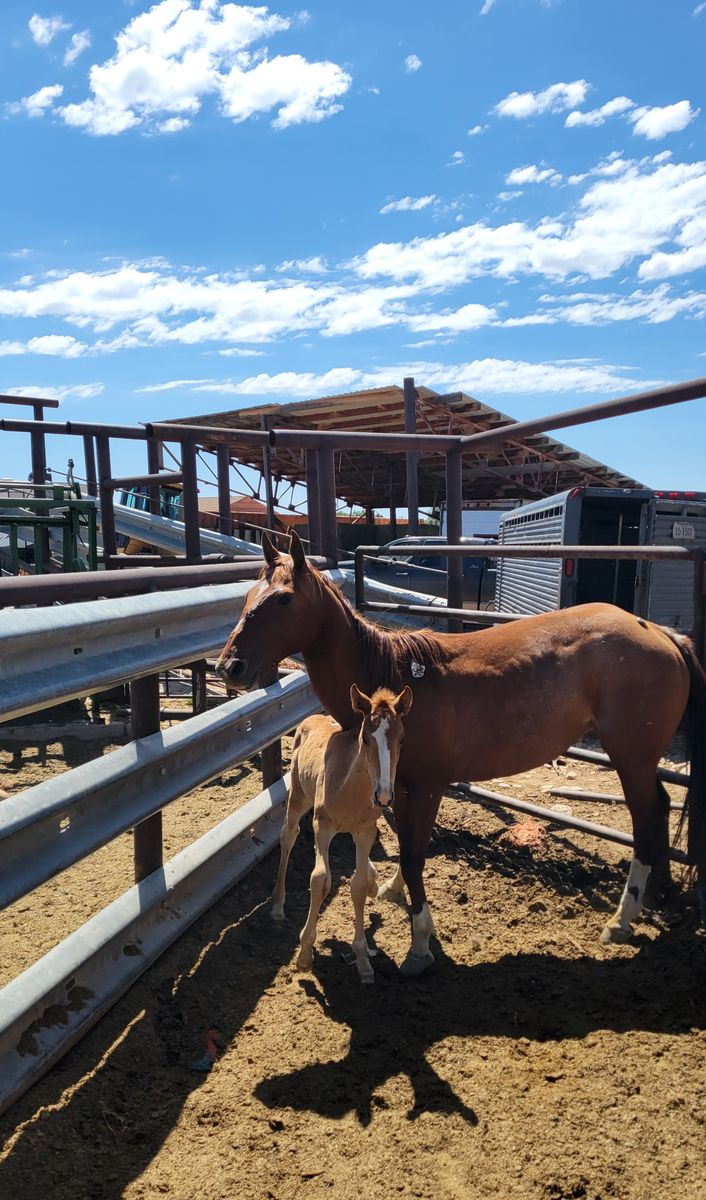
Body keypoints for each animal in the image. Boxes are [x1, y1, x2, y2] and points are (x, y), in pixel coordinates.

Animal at [272, 683, 412, 983]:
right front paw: (304, 953)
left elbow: (357, 886)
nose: (385, 796)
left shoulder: (365, 831)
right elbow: (320, 880)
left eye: (402, 739)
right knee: (288, 835)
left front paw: (363, 961)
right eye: (366, 738)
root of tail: (313, 718)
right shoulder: (322, 826)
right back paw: (277, 905)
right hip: (299, 795)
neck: (352, 787)